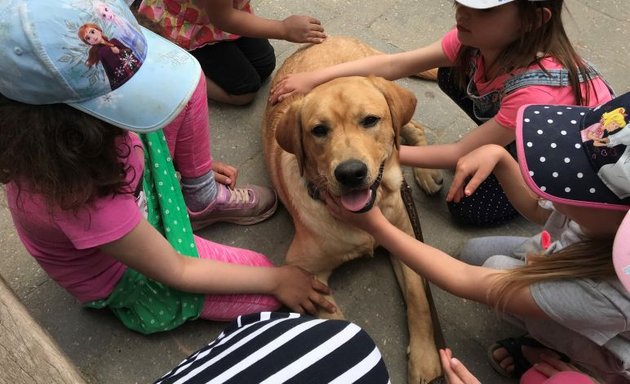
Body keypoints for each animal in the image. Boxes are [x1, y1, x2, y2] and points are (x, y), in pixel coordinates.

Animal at [262, 35, 444, 380]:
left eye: (370, 120)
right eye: (319, 130)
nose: (350, 173)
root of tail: (329, 37)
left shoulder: (406, 238)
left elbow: (420, 300)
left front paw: (426, 359)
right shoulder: (304, 271)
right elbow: (336, 321)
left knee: (413, 129)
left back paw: (426, 173)